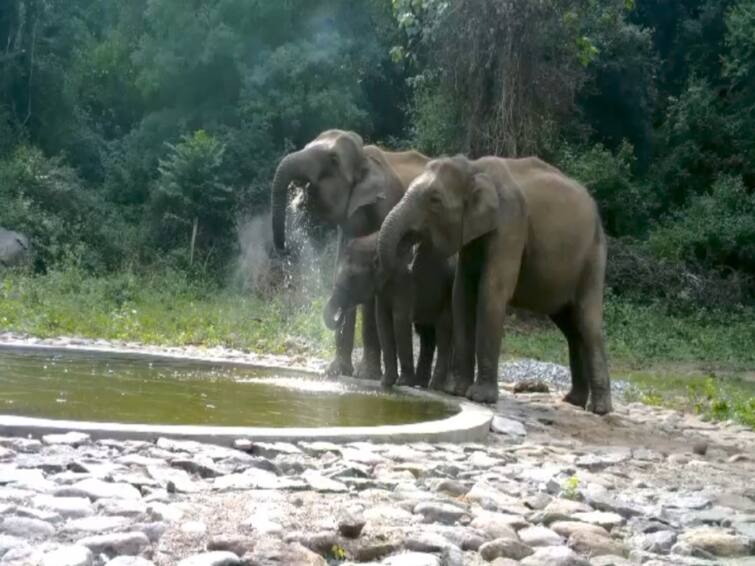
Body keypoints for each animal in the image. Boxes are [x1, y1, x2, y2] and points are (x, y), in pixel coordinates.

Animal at [268, 129, 428, 382]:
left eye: (333, 160)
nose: (285, 249)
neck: (364, 158)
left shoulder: (387, 208)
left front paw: (367, 374)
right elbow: (342, 267)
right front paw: (335, 371)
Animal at [320, 233, 454, 392]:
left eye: (352, 277)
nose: (340, 315)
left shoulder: (405, 281)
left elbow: (399, 319)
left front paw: (403, 382)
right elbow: (382, 320)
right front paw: (386, 382)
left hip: (447, 292)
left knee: (442, 329)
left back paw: (434, 385)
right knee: (426, 333)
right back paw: (421, 382)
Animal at [378, 155, 616, 418]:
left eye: (435, 200)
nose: (409, 253)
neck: (474, 168)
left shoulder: (510, 224)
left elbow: (491, 291)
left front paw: (480, 397)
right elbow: (462, 293)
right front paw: (456, 391)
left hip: (593, 259)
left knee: (587, 322)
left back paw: (599, 409)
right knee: (571, 328)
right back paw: (573, 401)